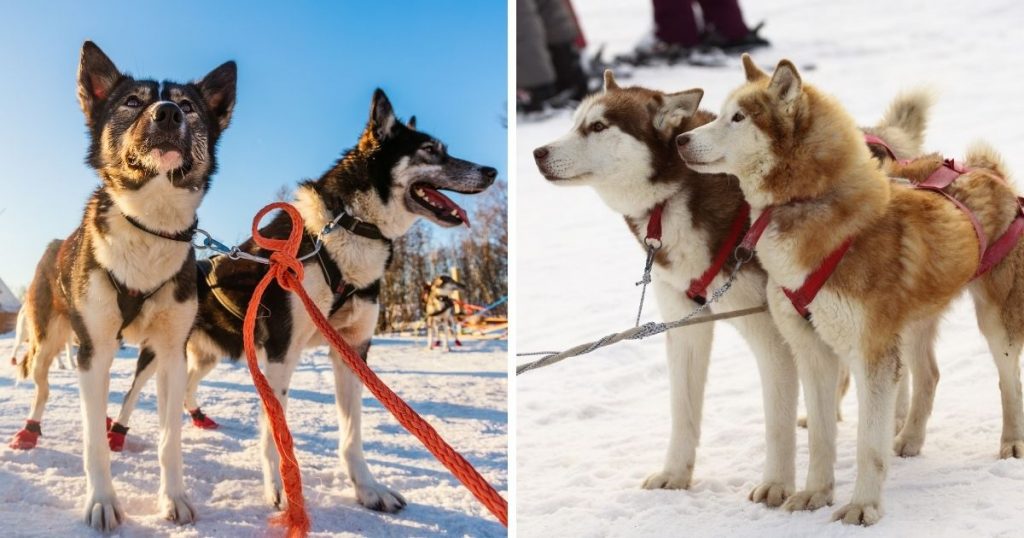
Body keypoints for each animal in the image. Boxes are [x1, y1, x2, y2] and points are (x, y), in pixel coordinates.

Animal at [8, 42, 235, 528]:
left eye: (188, 105)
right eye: (133, 101)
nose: (167, 113)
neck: (149, 224)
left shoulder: (172, 353)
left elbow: (170, 439)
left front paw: (174, 498)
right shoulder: (92, 351)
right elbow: (91, 441)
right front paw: (102, 501)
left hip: (146, 353)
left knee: (128, 396)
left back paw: (119, 430)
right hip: (49, 342)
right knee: (42, 388)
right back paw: (30, 432)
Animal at [110, 91, 497, 512]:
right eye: (430, 150)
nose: (491, 171)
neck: (343, 232)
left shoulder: (352, 350)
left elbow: (352, 434)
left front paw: (367, 488)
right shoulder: (282, 351)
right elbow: (275, 428)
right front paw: (282, 487)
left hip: (206, 355)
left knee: (186, 388)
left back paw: (196, 418)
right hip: (159, 353)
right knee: (131, 393)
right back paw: (117, 435)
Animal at [536, 72, 929, 508]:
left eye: (599, 126)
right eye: (575, 123)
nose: (537, 152)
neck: (676, 197)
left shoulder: (771, 334)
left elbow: (776, 420)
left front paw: (776, 483)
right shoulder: (685, 327)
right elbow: (683, 410)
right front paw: (676, 473)